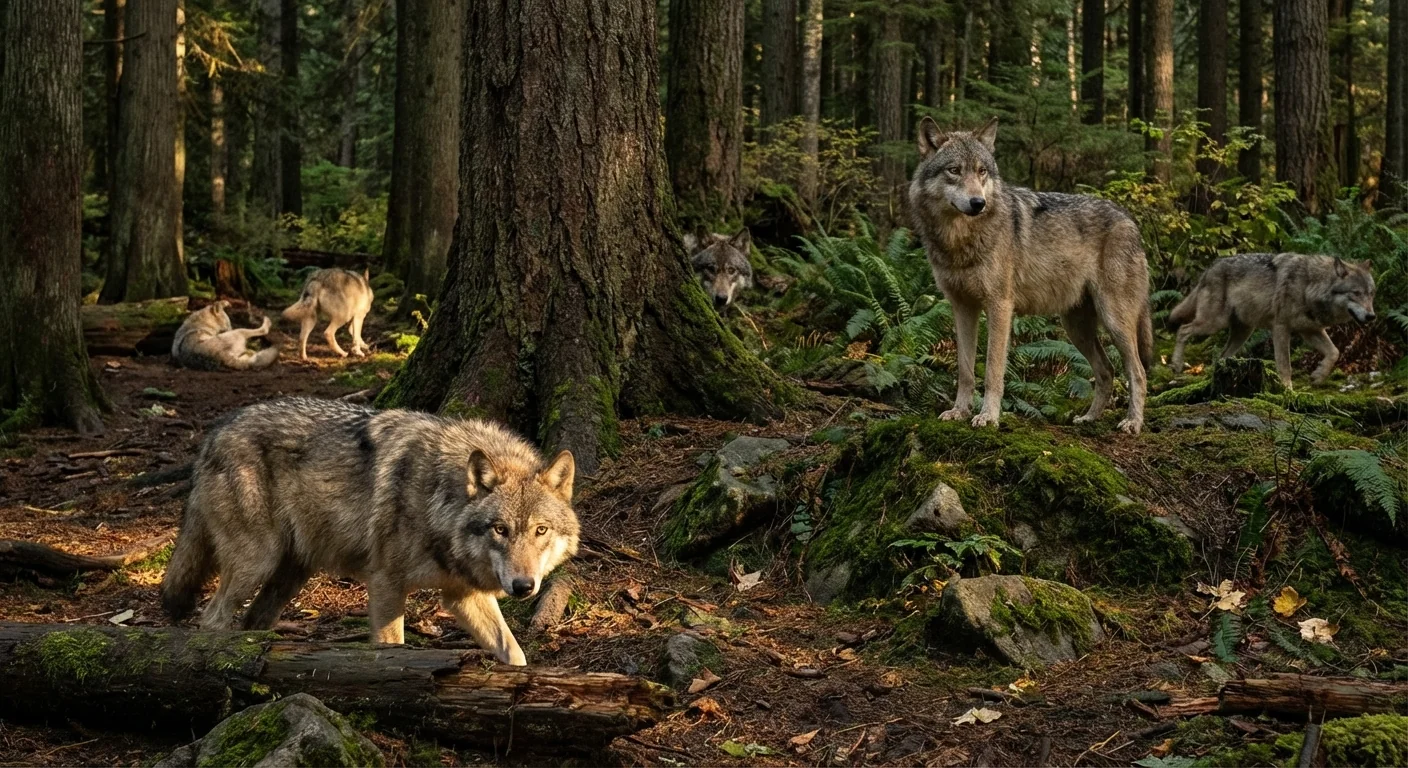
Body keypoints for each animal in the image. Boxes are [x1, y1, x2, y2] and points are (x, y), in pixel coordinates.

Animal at [160, 397, 579, 666]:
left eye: (540, 530)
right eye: (500, 529)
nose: (523, 586)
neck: (438, 501)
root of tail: (215, 433)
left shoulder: (462, 595)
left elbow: (514, 653)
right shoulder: (385, 583)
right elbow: (391, 648)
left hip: (290, 575)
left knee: (252, 621)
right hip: (256, 563)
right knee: (212, 619)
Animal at [909, 117, 1154, 434]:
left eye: (982, 171)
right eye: (954, 170)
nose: (978, 203)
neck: (960, 240)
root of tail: (1130, 220)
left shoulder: (1000, 306)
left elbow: (993, 370)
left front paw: (988, 416)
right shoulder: (962, 307)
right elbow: (965, 370)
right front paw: (959, 411)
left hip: (1115, 321)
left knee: (1137, 372)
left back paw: (1132, 422)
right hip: (1076, 328)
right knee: (1107, 371)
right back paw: (1089, 418)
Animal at [1168, 253, 1376, 388]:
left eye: (1371, 294)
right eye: (1356, 293)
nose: (1371, 316)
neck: (1309, 286)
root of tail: (1210, 267)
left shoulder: (1310, 330)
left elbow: (1334, 352)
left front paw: (1318, 376)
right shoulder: (1281, 328)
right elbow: (1285, 367)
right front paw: (1288, 392)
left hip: (1243, 332)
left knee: (1221, 356)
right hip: (1213, 323)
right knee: (1183, 330)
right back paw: (1176, 364)